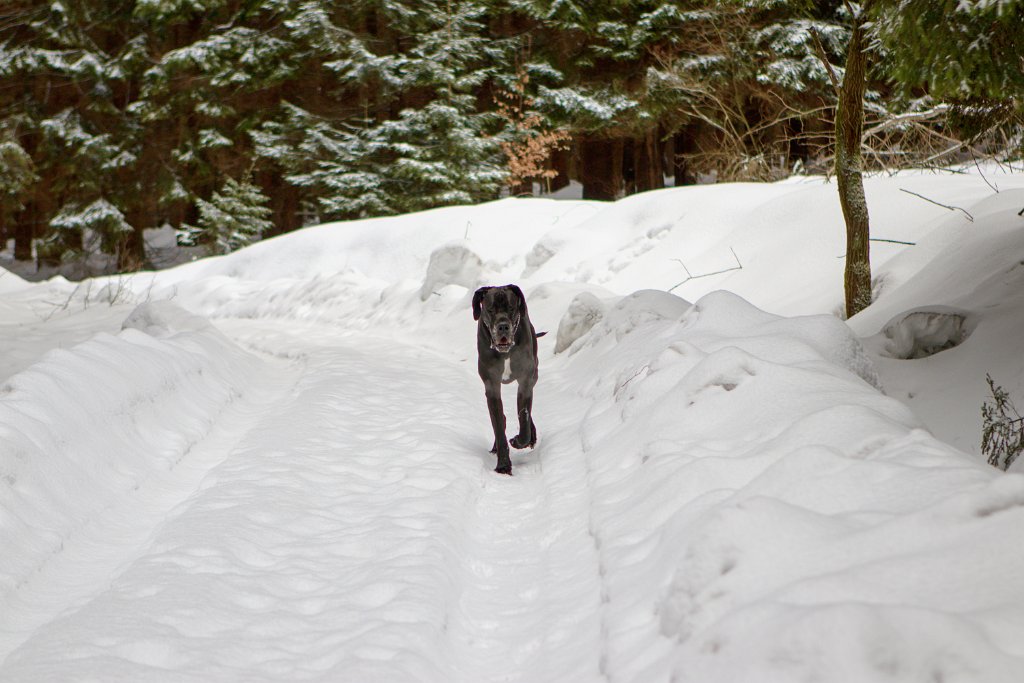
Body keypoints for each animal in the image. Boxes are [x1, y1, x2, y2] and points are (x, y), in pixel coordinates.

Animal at [471, 284, 544, 475]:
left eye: (511, 308)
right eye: (490, 309)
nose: (503, 326)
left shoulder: (526, 381)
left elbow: (524, 416)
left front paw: (520, 440)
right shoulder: (492, 387)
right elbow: (498, 425)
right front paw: (503, 465)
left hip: (534, 375)